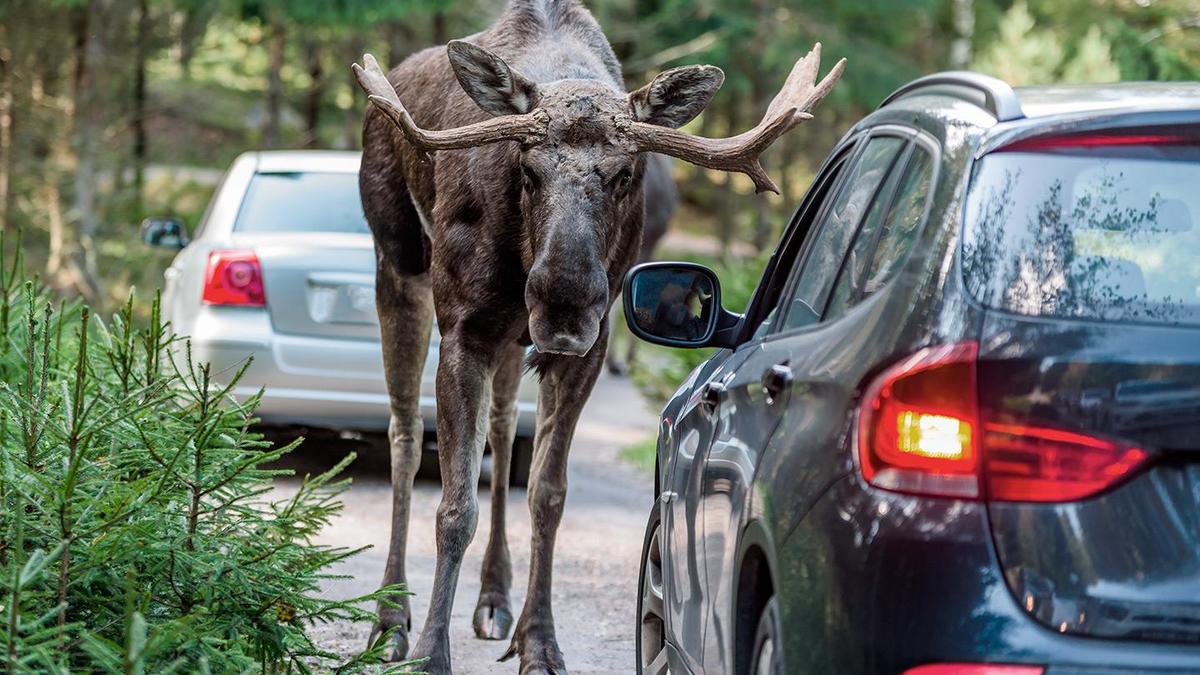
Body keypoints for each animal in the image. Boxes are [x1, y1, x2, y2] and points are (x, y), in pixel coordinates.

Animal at [352, 2, 844, 667]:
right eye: (527, 168)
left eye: (624, 174)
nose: (564, 299)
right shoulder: (464, 331)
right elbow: (454, 507)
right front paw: (431, 655)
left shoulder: (586, 345)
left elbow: (547, 493)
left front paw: (539, 642)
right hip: (399, 268)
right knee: (403, 434)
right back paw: (389, 617)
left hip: (510, 338)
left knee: (501, 430)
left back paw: (493, 598)